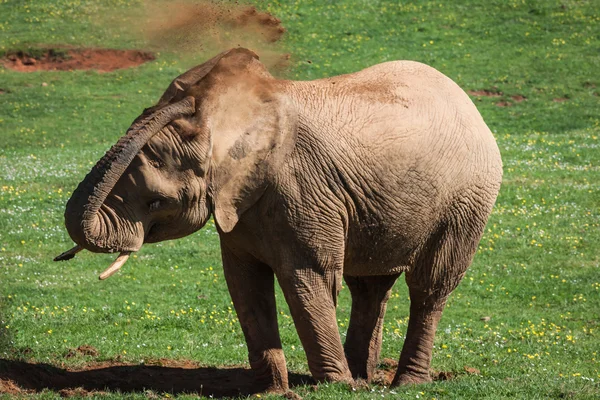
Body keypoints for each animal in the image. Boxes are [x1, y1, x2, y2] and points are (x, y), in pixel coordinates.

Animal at [56, 48, 504, 392]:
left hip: (467, 200)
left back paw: (404, 383)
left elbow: (308, 277)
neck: (232, 121)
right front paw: (272, 391)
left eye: (155, 202)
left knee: (431, 285)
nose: (179, 100)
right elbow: (243, 283)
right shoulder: (242, 205)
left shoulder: (303, 191)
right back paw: (363, 378)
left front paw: (334, 387)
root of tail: (466, 101)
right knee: (370, 286)